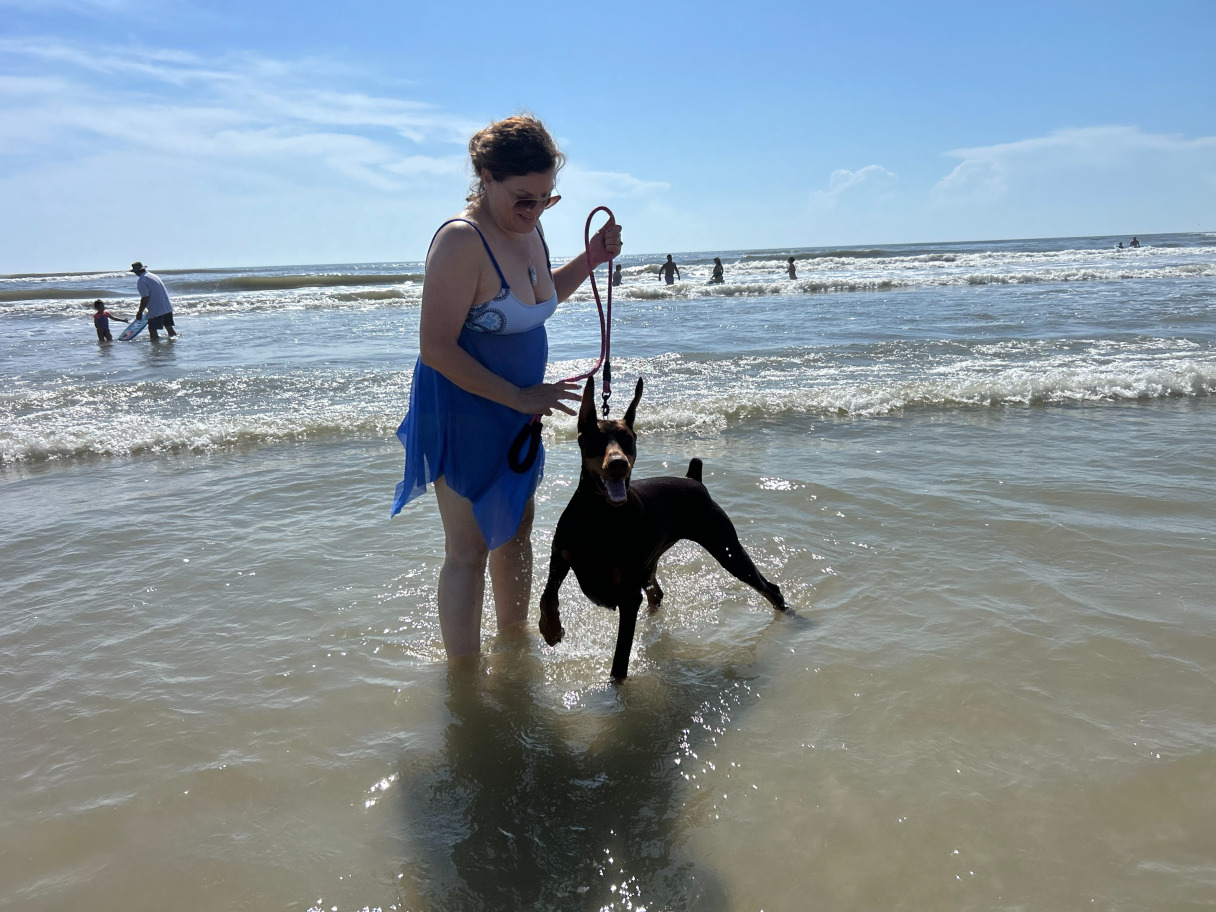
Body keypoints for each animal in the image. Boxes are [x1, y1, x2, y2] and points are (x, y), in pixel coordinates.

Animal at [538, 376, 788, 680]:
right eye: (596, 440)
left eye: (628, 439)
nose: (618, 464)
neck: (600, 516)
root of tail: (694, 479)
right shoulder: (560, 554)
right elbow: (548, 594)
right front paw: (550, 629)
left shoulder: (628, 596)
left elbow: (620, 659)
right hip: (652, 560)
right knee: (656, 592)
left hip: (725, 546)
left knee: (769, 588)